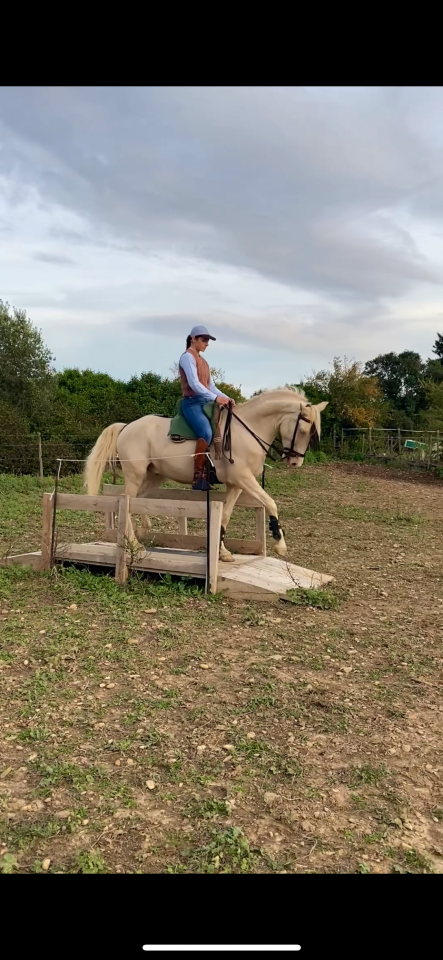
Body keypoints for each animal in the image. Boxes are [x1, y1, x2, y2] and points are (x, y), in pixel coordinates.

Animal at [84, 388, 328, 562]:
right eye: (303, 430)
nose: (295, 461)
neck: (248, 429)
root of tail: (127, 427)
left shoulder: (236, 484)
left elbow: (226, 515)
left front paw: (222, 552)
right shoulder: (244, 479)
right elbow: (270, 502)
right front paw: (279, 542)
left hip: (155, 476)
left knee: (139, 501)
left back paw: (143, 531)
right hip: (135, 475)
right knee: (125, 502)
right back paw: (134, 543)